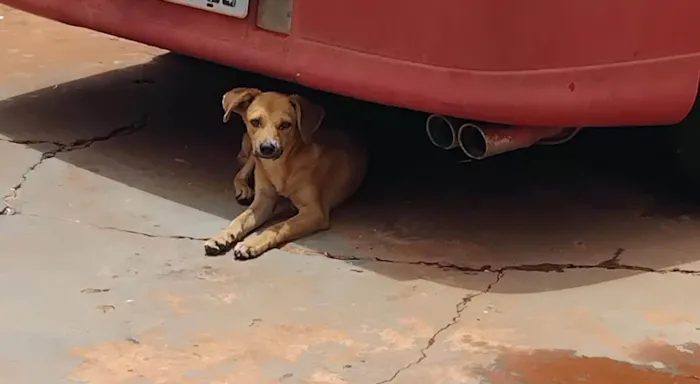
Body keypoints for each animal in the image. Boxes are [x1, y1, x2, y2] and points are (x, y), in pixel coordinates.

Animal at [202, 88, 366, 260]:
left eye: (286, 125)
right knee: (240, 173)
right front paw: (221, 236)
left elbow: (277, 227)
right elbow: (239, 220)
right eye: (255, 122)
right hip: (254, 155)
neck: (282, 167)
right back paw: (243, 189)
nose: (267, 148)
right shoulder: (264, 200)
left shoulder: (314, 212)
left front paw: (251, 243)